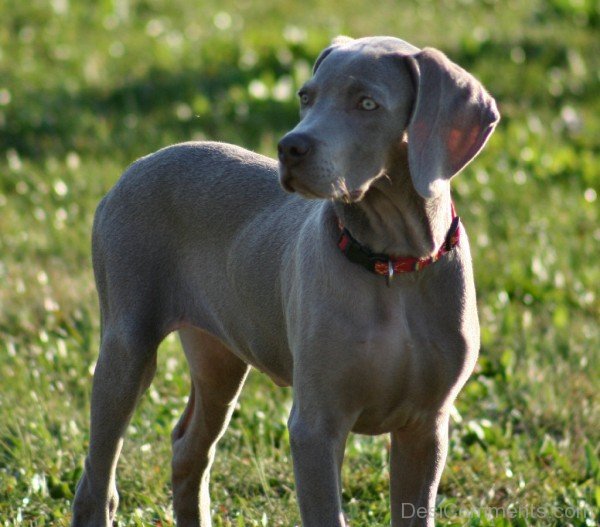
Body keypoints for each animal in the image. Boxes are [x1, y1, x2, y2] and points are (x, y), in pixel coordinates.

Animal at [72, 37, 500, 527]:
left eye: (367, 103)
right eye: (305, 97)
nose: (290, 147)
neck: (393, 264)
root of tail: (136, 165)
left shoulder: (426, 426)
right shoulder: (316, 424)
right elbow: (326, 512)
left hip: (219, 357)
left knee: (188, 449)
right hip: (128, 344)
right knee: (98, 477)